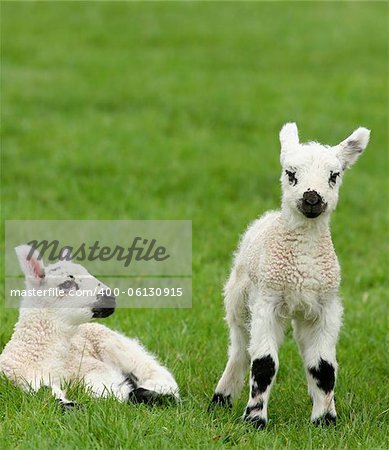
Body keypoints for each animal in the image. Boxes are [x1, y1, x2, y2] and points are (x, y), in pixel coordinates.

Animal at [0, 246, 179, 408]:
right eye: (67, 284)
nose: (110, 297)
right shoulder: (26, 382)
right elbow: (51, 398)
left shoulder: (92, 367)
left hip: (115, 344)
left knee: (156, 372)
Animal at [211, 123, 368, 428]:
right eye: (290, 173)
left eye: (334, 175)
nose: (312, 198)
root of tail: (270, 216)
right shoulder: (267, 302)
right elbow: (264, 364)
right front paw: (255, 420)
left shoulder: (326, 307)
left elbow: (323, 366)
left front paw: (325, 420)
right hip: (238, 300)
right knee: (239, 349)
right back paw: (221, 398)